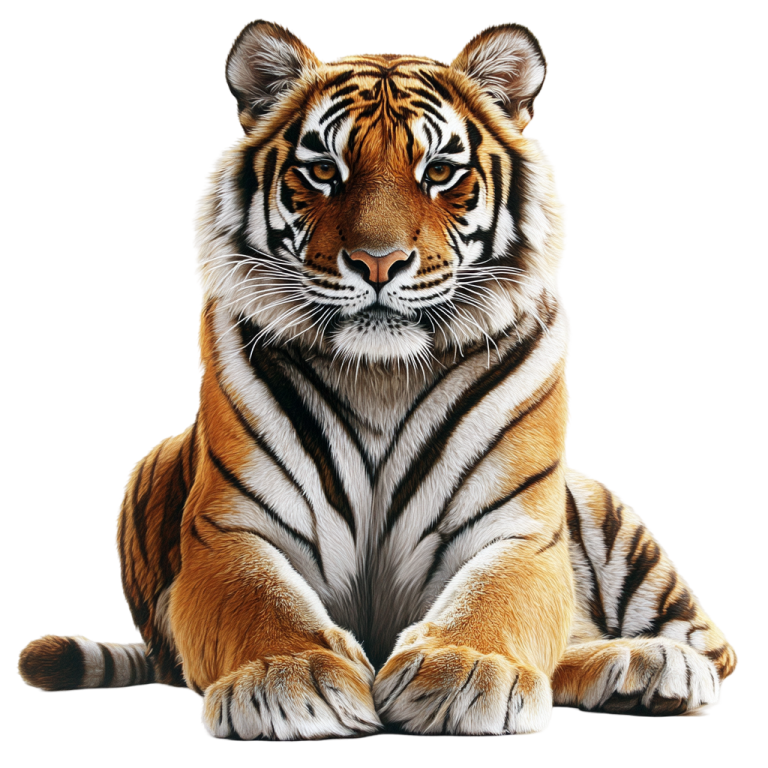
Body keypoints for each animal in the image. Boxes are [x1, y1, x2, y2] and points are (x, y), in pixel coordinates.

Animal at [17, 20, 737, 739]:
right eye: (323, 171)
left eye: (439, 172)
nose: (378, 262)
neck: (381, 377)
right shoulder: (228, 530)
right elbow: (262, 601)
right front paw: (288, 678)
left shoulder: (522, 531)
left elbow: (495, 600)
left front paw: (467, 671)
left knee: (703, 646)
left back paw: (656, 665)